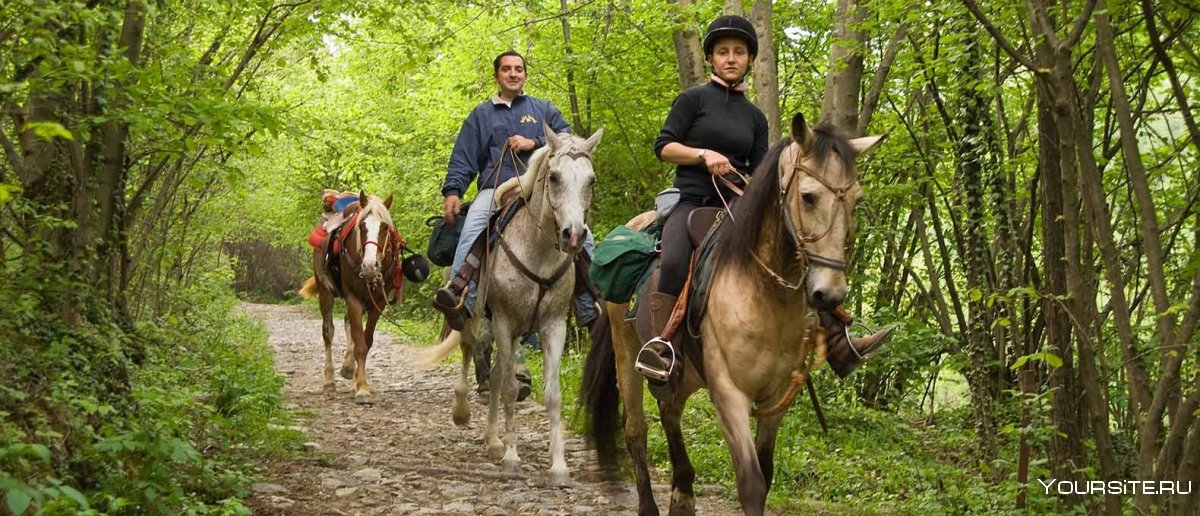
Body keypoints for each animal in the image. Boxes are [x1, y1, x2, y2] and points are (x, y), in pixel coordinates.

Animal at [300, 192, 408, 405]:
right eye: (362, 227)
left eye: (385, 227)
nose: (370, 266)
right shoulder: (353, 299)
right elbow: (359, 344)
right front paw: (362, 389)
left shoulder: (377, 304)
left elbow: (366, 341)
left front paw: (358, 381)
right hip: (325, 291)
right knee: (328, 332)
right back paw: (329, 381)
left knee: (347, 323)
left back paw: (349, 370)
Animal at [420, 123, 604, 484]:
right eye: (554, 177)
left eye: (590, 180)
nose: (574, 235)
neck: (539, 252)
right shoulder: (504, 321)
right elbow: (507, 389)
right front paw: (512, 458)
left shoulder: (552, 326)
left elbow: (551, 394)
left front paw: (558, 466)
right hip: (478, 319)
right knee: (469, 352)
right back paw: (462, 412)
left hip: (516, 330)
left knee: (492, 374)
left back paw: (492, 441)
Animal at [580, 114, 883, 513]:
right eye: (808, 196)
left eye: (857, 200)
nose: (828, 293)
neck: (762, 290)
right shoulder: (729, 393)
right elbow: (751, 482)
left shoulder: (776, 399)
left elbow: (766, 474)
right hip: (626, 350)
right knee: (635, 430)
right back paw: (651, 503)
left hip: (683, 373)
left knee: (670, 411)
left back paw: (682, 495)